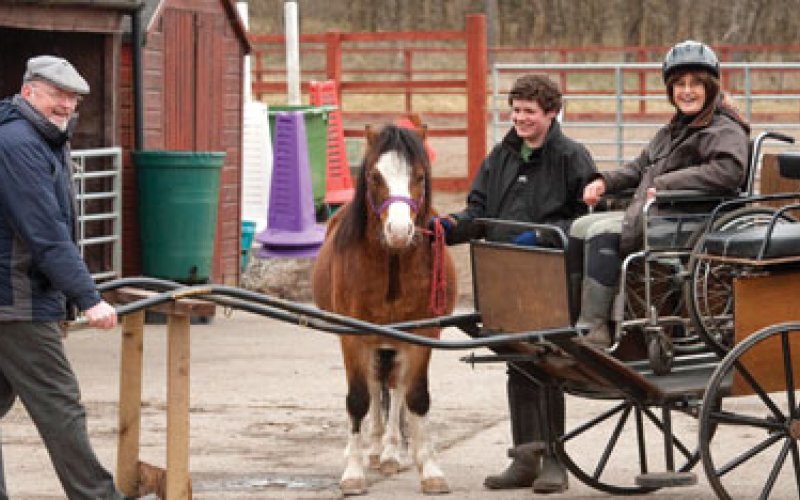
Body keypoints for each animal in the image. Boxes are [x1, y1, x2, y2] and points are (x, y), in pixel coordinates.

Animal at [316, 124, 460, 492]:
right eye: (374, 176)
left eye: (420, 176)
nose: (398, 231)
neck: (392, 264)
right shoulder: (352, 336)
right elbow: (358, 399)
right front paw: (354, 471)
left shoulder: (422, 334)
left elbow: (416, 396)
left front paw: (429, 469)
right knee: (373, 386)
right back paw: (373, 447)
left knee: (394, 388)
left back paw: (391, 451)